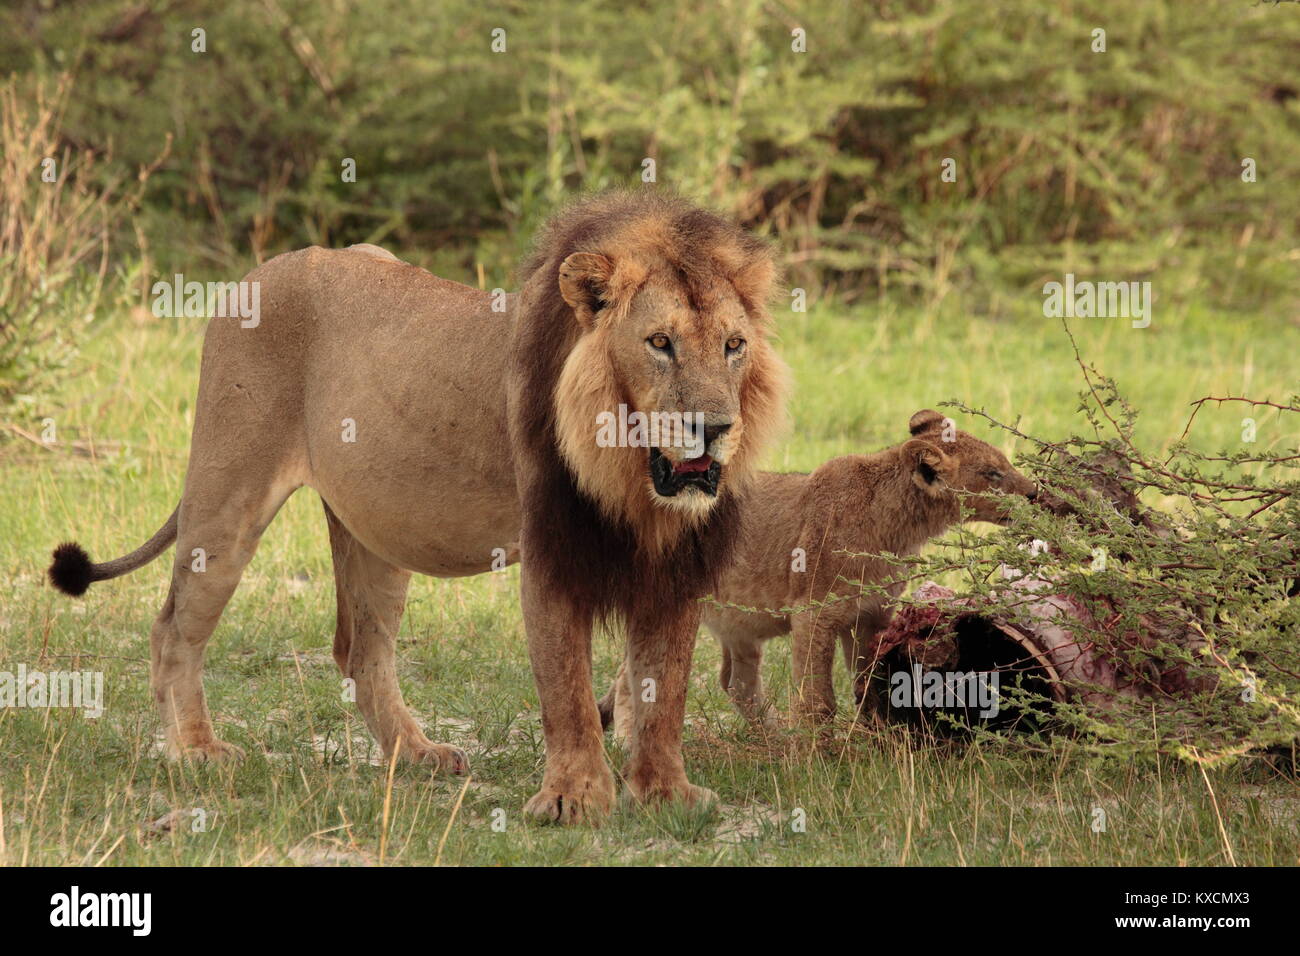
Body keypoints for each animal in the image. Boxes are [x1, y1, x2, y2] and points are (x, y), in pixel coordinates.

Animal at [45, 192, 785, 822]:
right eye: (659, 343)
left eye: (734, 346)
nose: (713, 427)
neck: (631, 477)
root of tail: (256, 273)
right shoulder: (550, 552)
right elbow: (568, 688)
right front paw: (572, 800)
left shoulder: (679, 565)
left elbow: (665, 686)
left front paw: (666, 794)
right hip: (228, 496)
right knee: (174, 626)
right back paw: (194, 750)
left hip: (374, 527)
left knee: (359, 649)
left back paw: (418, 755)